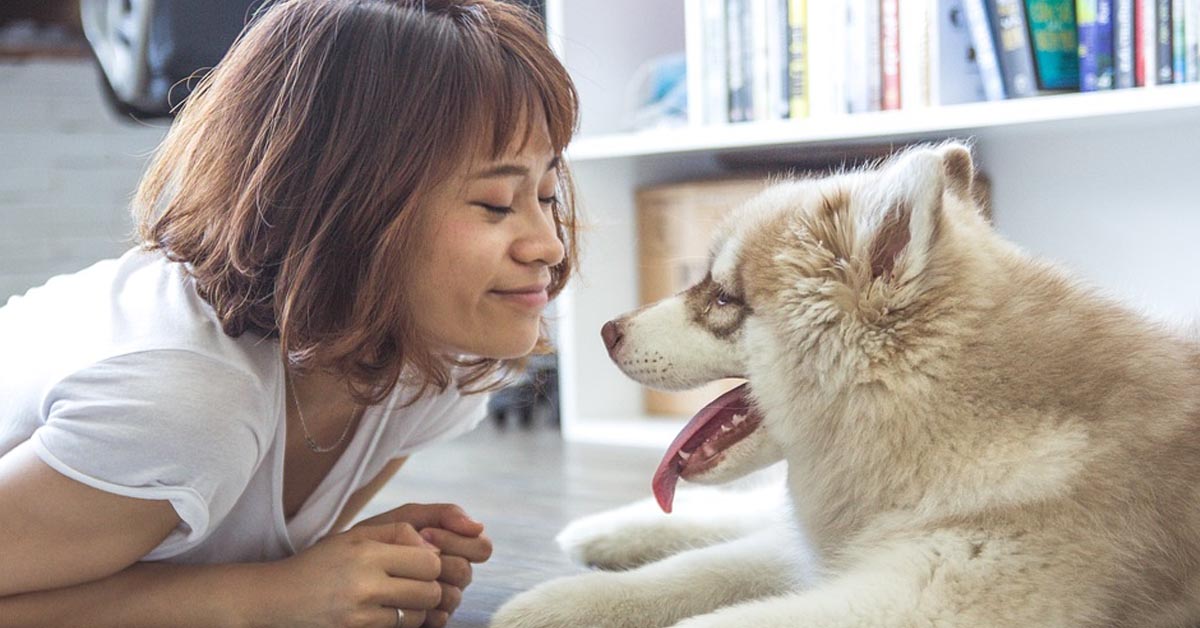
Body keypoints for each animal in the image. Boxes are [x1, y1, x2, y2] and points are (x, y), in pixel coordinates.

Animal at [492, 143, 1200, 628]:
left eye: (722, 298)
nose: (605, 331)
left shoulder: (917, 595)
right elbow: (697, 571)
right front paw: (563, 601)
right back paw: (604, 533)